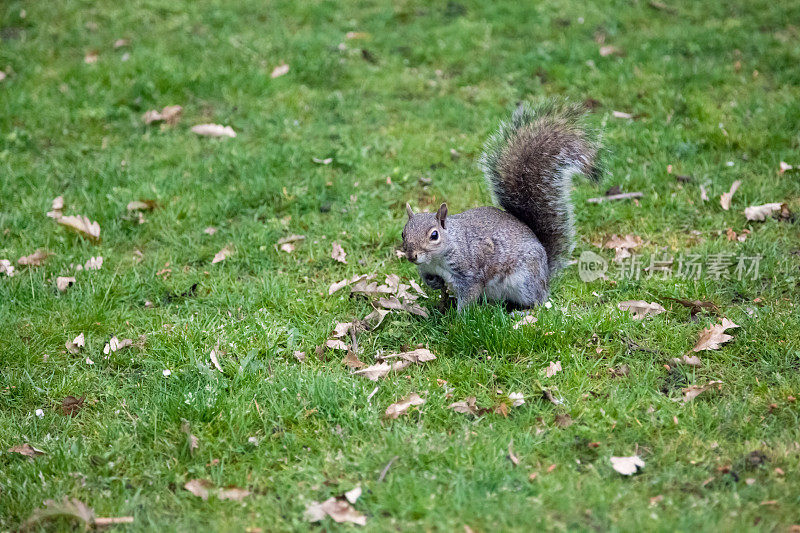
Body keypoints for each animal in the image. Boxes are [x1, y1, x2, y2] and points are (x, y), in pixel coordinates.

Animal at [400, 101, 600, 312]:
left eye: (434, 235)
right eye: (403, 234)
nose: (411, 255)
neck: (438, 257)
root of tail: (546, 270)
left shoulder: (470, 273)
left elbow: (469, 294)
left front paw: (459, 317)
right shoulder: (426, 268)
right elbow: (428, 278)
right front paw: (435, 284)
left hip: (525, 280)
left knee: (538, 300)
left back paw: (521, 312)